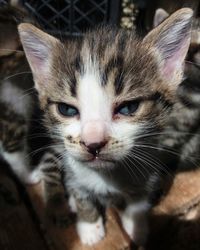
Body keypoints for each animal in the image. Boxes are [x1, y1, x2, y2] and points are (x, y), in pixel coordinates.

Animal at [18, 8, 192, 246]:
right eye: (66, 110)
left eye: (129, 107)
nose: (93, 143)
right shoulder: (74, 172)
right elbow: (81, 194)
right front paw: (90, 226)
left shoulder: (148, 170)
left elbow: (138, 203)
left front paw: (136, 226)